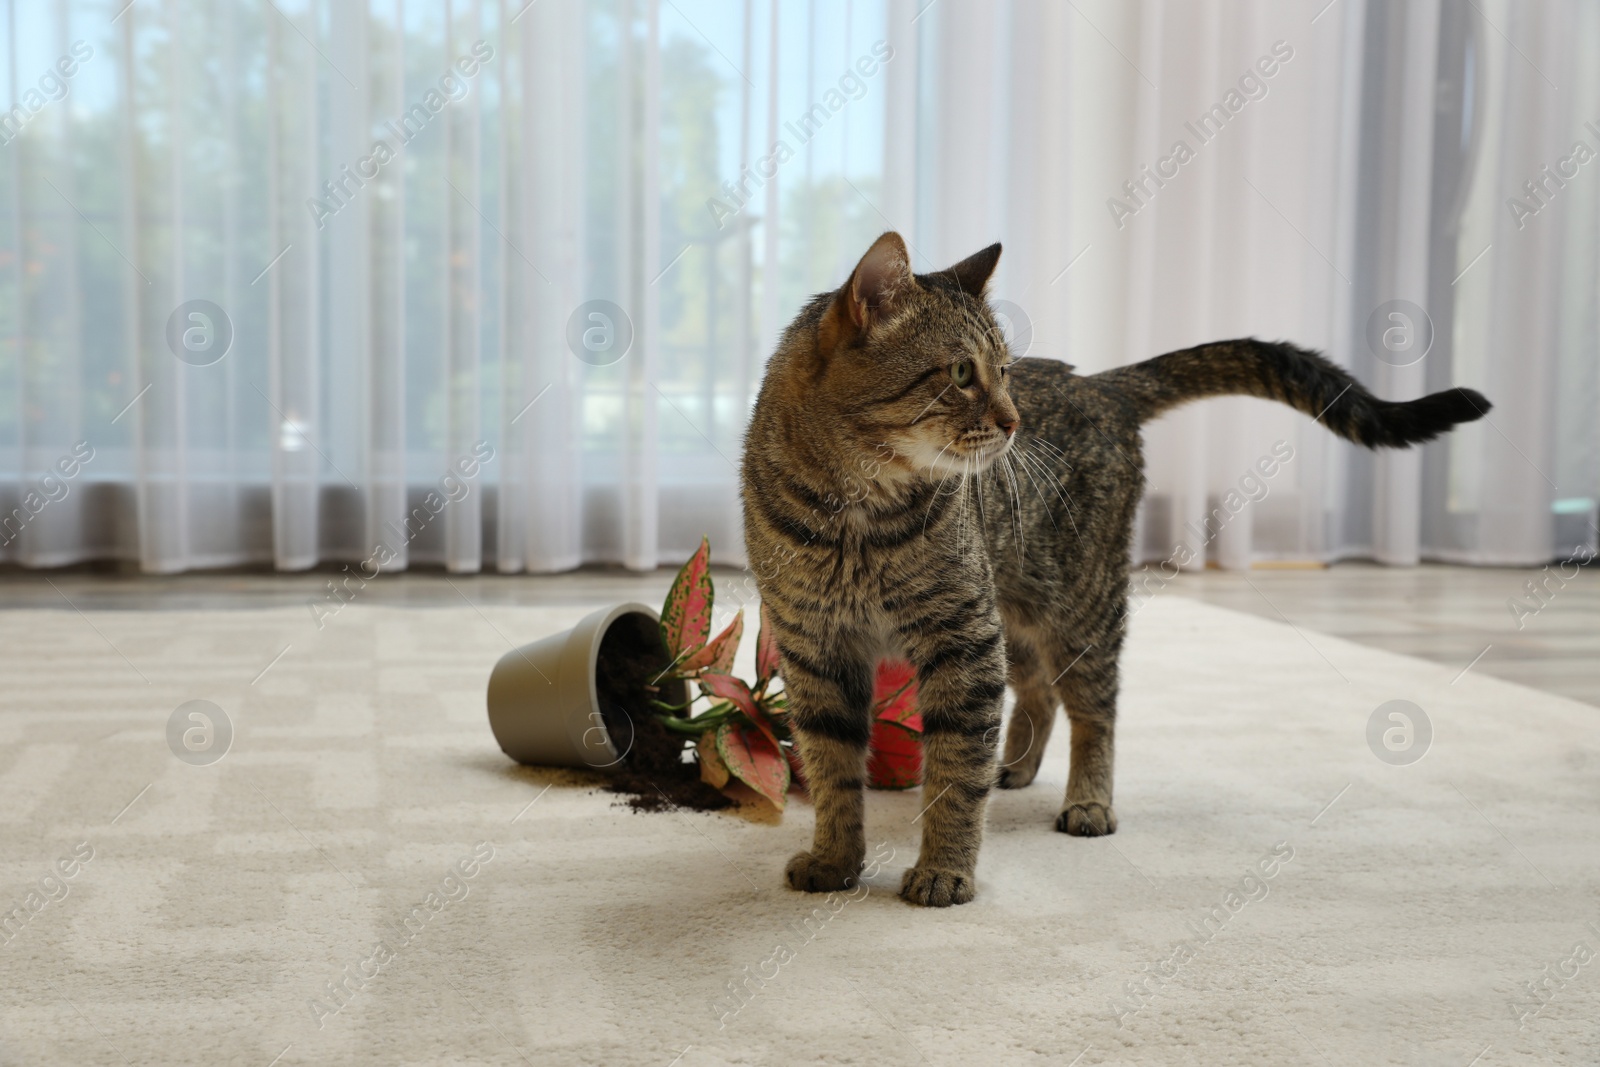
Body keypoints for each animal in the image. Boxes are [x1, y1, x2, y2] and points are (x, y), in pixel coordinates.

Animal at [742, 230, 1491, 908]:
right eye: (960, 374)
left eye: (1004, 371)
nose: (1013, 420)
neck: (855, 515)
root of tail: (1100, 383)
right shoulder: (815, 650)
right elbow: (834, 770)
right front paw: (835, 860)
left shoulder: (961, 641)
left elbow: (954, 773)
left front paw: (944, 869)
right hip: (1018, 610)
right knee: (1039, 693)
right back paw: (1015, 766)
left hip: (1078, 610)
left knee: (1095, 710)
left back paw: (1087, 800)